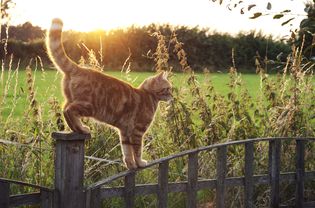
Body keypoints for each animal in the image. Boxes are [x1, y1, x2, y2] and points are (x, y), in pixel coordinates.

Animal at [46, 18, 173, 170]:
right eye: (168, 88)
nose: (172, 95)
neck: (147, 95)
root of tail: (79, 68)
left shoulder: (125, 132)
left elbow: (127, 151)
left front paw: (130, 165)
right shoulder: (137, 131)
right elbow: (137, 150)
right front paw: (140, 163)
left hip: (72, 100)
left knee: (65, 109)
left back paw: (78, 129)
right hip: (89, 106)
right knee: (69, 110)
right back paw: (82, 128)